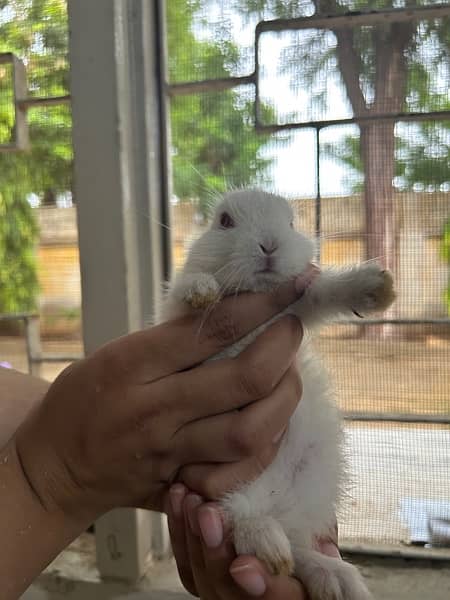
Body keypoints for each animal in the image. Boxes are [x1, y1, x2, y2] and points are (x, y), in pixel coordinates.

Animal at [158, 190, 394, 600]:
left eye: (291, 223)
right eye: (224, 221)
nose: (269, 245)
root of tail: (277, 502)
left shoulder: (295, 307)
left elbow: (319, 292)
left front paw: (376, 288)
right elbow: (188, 290)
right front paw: (202, 291)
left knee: (294, 546)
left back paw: (334, 577)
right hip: (223, 492)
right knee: (237, 518)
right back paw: (270, 545)